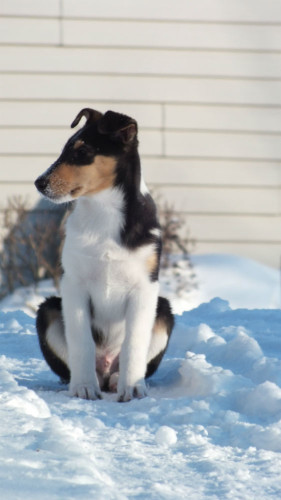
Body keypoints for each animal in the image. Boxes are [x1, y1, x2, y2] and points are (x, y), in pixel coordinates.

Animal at [34, 109, 173, 402]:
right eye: (64, 150)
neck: (103, 211)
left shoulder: (145, 287)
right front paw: (84, 388)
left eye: (83, 151)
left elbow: (134, 342)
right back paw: (88, 382)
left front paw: (133, 389)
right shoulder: (74, 284)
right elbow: (81, 341)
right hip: (48, 310)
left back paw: (121, 381)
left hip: (164, 311)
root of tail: (107, 370)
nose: (39, 183)